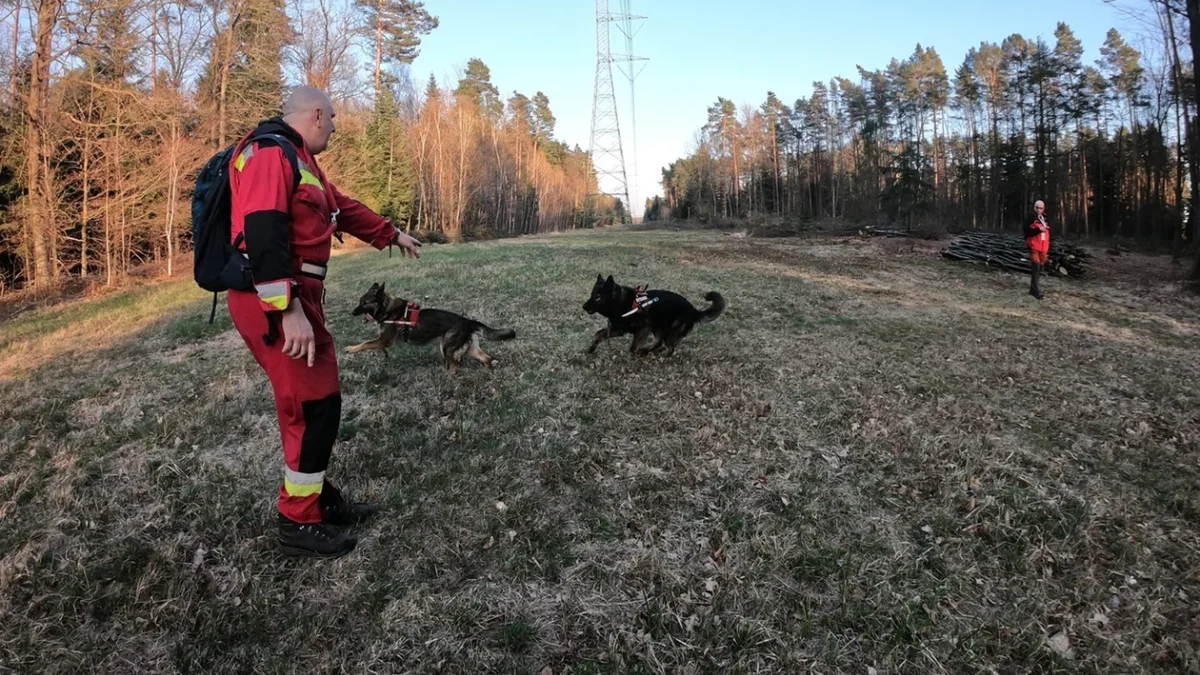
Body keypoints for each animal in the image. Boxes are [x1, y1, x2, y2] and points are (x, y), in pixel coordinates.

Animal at [348, 281, 516, 369]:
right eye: (360, 301)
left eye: (365, 302)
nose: (353, 312)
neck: (387, 308)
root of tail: (467, 321)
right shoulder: (383, 340)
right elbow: (376, 346)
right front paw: (384, 355)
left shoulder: (385, 339)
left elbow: (365, 344)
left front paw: (351, 349)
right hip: (470, 349)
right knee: (485, 358)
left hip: (446, 349)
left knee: (457, 365)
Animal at [580, 275, 720, 357]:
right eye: (592, 295)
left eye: (598, 297)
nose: (584, 306)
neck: (621, 302)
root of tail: (693, 310)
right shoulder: (619, 329)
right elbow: (598, 334)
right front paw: (591, 348)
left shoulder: (642, 329)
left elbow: (633, 348)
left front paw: (636, 353)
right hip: (657, 327)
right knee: (659, 342)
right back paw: (650, 350)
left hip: (668, 331)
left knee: (669, 348)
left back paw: (658, 354)